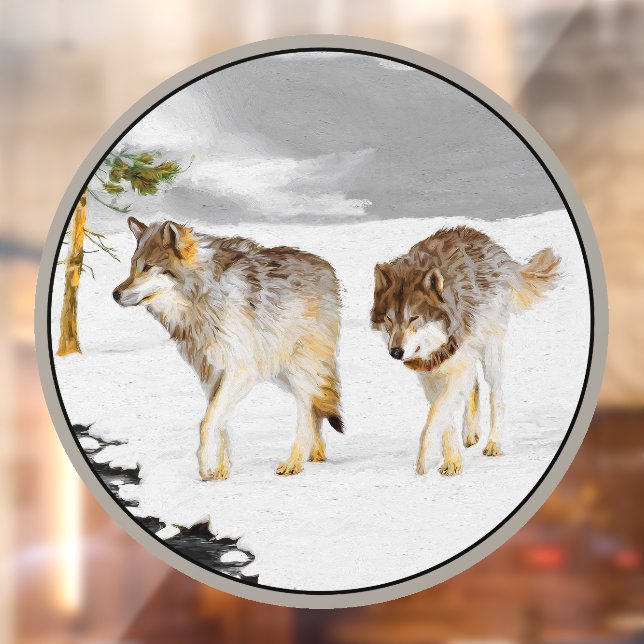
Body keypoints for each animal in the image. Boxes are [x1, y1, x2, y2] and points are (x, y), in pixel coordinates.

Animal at [113, 217, 343, 480]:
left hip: (297, 368)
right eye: (132, 267)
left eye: (147, 267)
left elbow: (207, 422)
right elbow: (218, 422)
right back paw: (316, 454)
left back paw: (294, 462)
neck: (203, 295)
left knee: (306, 408)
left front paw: (205, 467)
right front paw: (220, 470)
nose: (115, 294)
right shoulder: (212, 374)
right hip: (278, 372)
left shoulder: (241, 371)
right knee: (316, 406)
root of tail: (327, 268)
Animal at [371, 226, 560, 476]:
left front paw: (427, 459)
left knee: (496, 395)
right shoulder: (429, 377)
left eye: (414, 318)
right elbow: (445, 418)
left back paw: (494, 444)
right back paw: (471, 433)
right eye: (389, 319)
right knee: (475, 385)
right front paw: (451, 461)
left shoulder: (455, 370)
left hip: (490, 353)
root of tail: (489, 243)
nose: (395, 351)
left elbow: (436, 415)